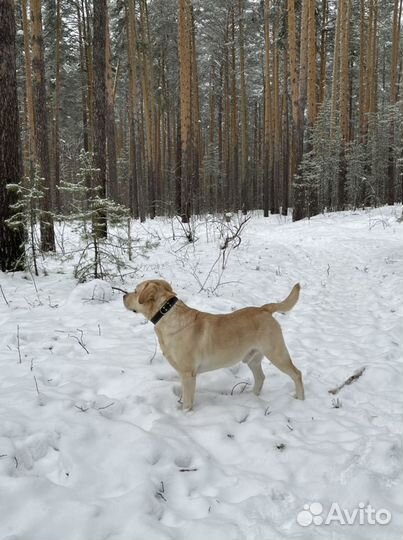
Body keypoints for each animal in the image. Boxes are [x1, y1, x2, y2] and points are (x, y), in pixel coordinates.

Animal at [123, 280, 304, 412]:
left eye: (135, 291)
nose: (123, 295)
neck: (167, 315)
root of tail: (264, 308)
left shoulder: (188, 374)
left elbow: (187, 401)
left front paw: (185, 414)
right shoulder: (183, 373)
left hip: (277, 353)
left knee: (297, 373)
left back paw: (300, 399)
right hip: (252, 358)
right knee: (260, 377)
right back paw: (252, 397)